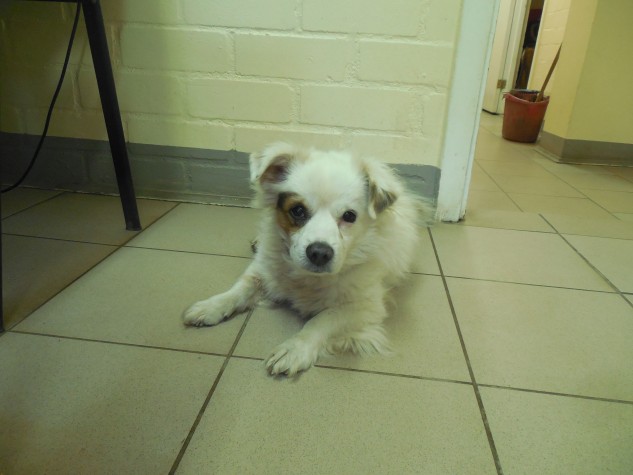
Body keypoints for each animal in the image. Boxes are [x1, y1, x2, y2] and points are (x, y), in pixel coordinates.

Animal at [183, 143, 433, 376]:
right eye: (297, 210)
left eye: (349, 216)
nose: (319, 252)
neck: (307, 279)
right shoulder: (264, 268)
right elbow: (240, 288)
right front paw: (211, 306)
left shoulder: (367, 306)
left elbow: (323, 319)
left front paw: (295, 348)